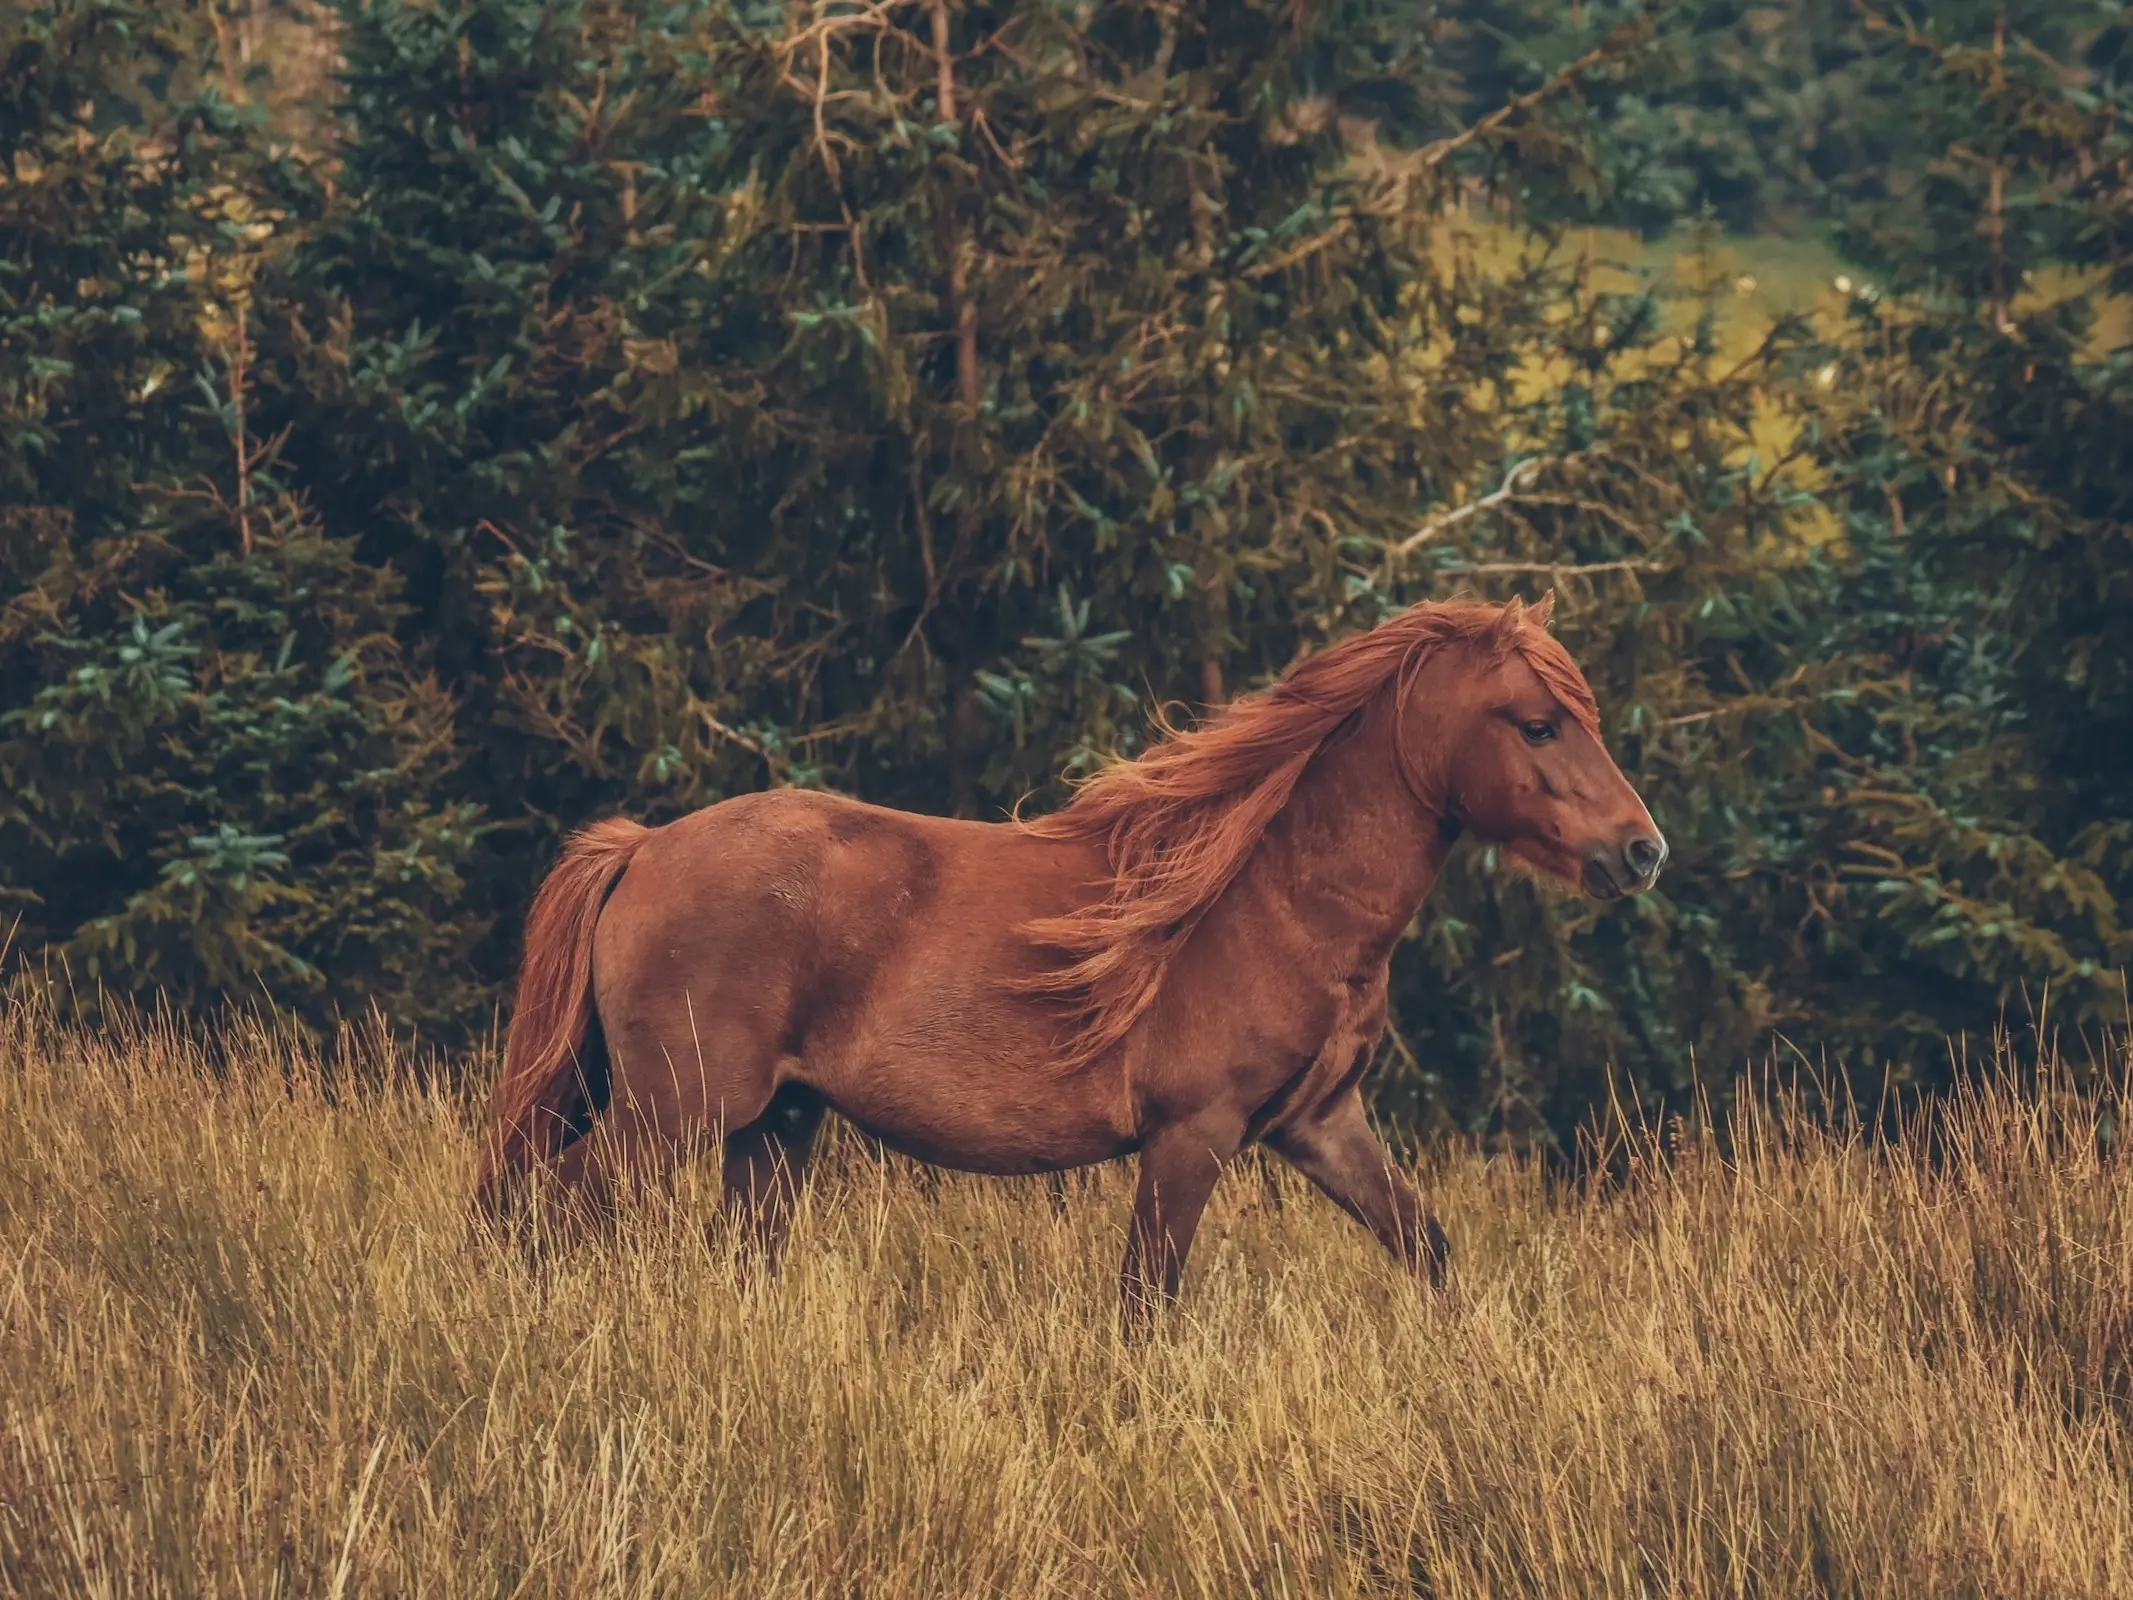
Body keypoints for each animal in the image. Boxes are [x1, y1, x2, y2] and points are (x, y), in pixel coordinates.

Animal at [479, 597, 1663, 1331]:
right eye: (1538, 724)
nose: (1641, 852)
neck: (1269, 896)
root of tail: (640, 848)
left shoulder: (1320, 1125)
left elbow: (1425, 1248)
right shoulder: (1191, 1136)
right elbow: (1146, 1304)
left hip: (772, 1129)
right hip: (674, 1112)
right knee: (549, 1213)